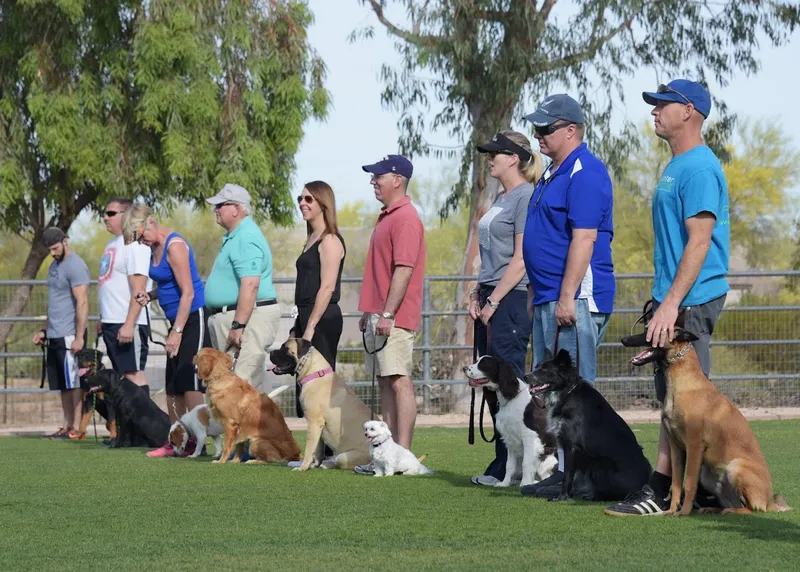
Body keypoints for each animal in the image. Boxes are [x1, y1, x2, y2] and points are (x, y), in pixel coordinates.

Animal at [266, 340, 372, 470]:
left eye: (285, 348)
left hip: (345, 457)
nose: (270, 352)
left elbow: (309, 448)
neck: (314, 373)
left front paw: (303, 467)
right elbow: (317, 450)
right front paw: (313, 465)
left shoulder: (314, 422)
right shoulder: (319, 428)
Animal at [524, 348, 648, 500]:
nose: (525, 377)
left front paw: (562, 497)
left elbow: (567, 476)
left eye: (545, 370)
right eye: (537, 368)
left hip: (598, 464)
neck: (567, 392)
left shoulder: (571, 446)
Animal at [624, 328, 788, 516]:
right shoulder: (676, 448)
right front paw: (672, 510)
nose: (623, 339)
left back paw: (730, 511)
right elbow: (676, 484)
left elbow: (689, 484)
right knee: (733, 503)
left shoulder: (694, 446)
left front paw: (684, 512)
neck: (682, 383)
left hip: (735, 468)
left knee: (752, 509)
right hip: (708, 477)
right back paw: (712, 508)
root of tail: (769, 502)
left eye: (648, 331)